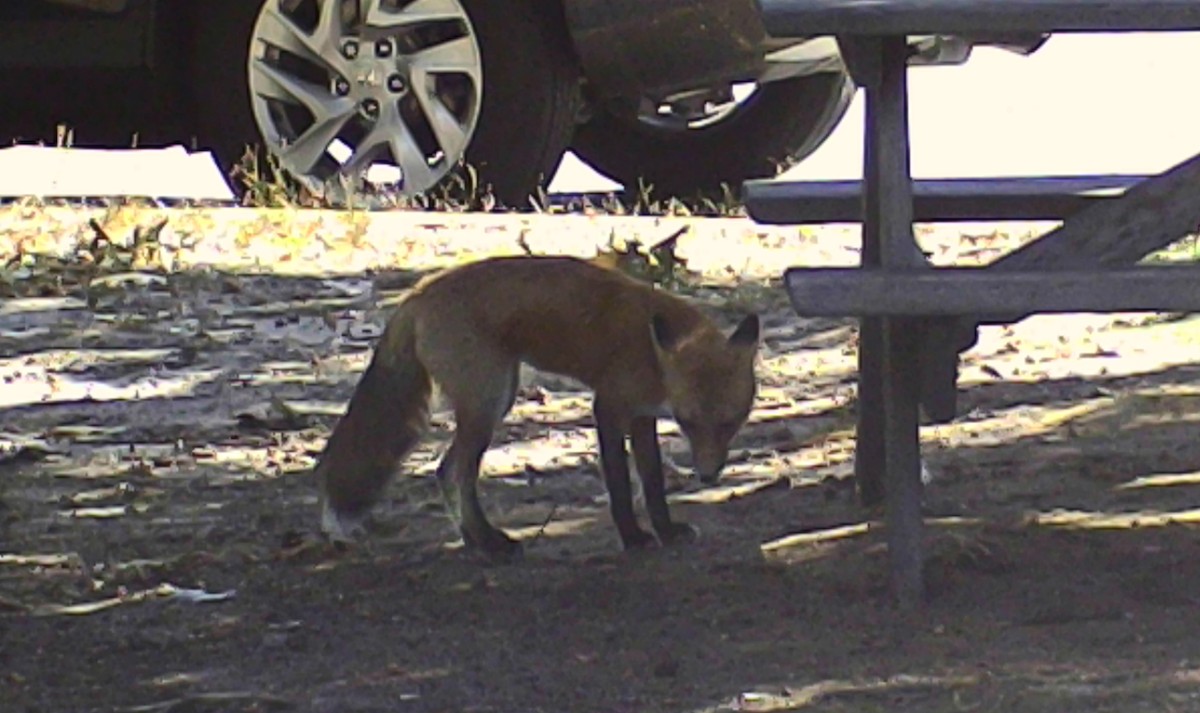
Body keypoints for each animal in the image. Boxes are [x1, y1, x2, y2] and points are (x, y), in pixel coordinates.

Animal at [314, 255, 760, 558]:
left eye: (731, 423)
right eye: (689, 422)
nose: (707, 476)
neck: (651, 352)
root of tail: (417, 292)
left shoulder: (642, 414)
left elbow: (652, 482)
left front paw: (666, 531)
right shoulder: (609, 407)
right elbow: (619, 482)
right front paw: (633, 537)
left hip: (497, 397)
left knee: (445, 472)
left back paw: (474, 540)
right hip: (488, 401)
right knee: (455, 473)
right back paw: (490, 543)